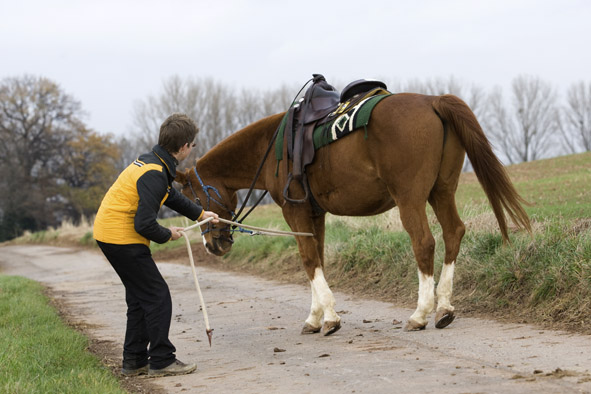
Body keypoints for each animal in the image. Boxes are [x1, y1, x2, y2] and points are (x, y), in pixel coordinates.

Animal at [175, 93, 532, 336]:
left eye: (192, 197)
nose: (212, 246)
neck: (272, 147)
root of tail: (432, 101)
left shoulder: (296, 214)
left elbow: (308, 260)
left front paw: (329, 319)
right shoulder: (314, 217)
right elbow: (317, 258)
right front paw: (315, 317)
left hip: (410, 199)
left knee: (424, 243)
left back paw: (420, 313)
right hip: (441, 191)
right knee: (453, 233)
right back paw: (443, 307)